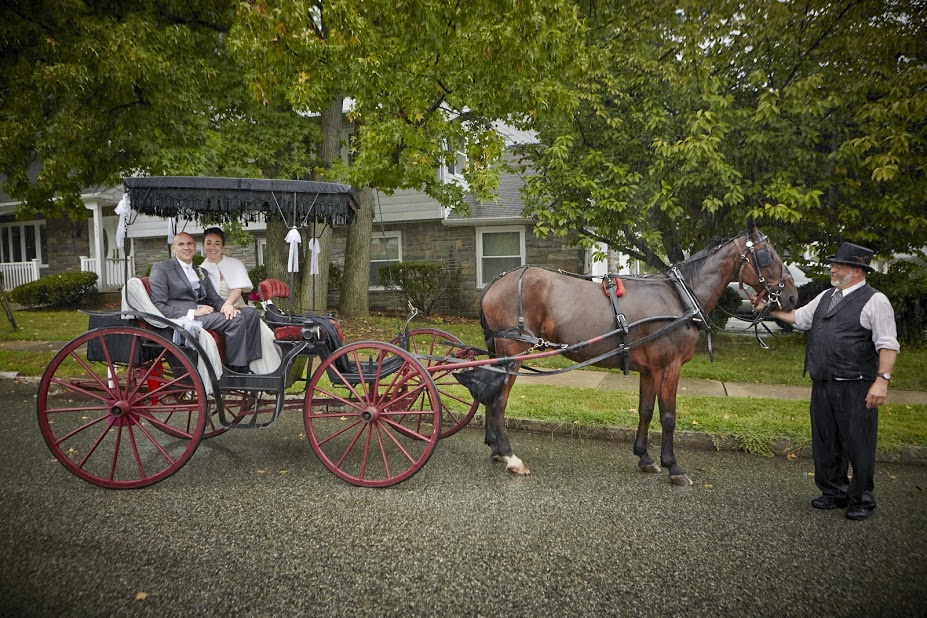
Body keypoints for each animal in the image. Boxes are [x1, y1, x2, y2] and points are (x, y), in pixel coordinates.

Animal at [472, 219, 796, 484]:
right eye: (768, 256)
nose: (792, 297)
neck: (679, 296)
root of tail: (495, 284)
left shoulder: (651, 369)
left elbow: (646, 411)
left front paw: (645, 457)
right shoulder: (669, 366)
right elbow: (668, 416)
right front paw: (673, 467)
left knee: (491, 396)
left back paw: (495, 449)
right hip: (514, 352)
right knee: (499, 401)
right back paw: (511, 457)